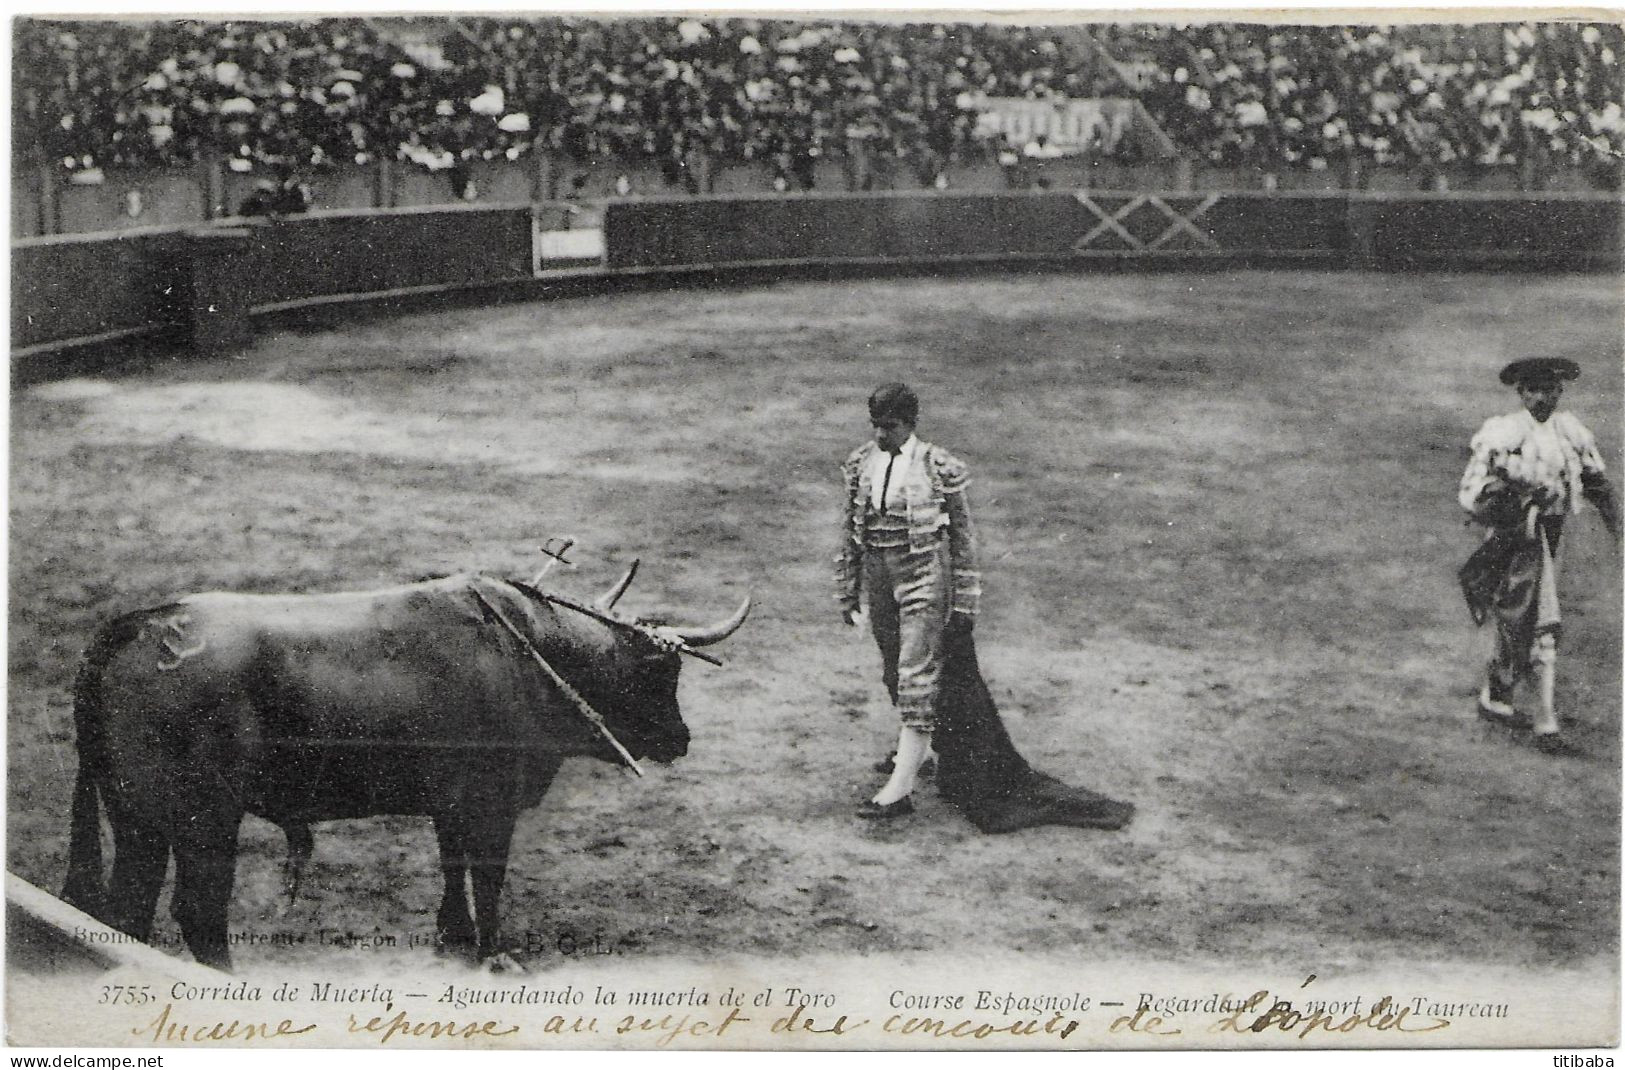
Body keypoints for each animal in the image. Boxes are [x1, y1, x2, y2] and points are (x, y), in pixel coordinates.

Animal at [60, 565, 747, 969]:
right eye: (662, 671)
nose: (681, 739)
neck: (533, 655)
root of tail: (133, 627)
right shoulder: (491, 805)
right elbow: (487, 877)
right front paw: (495, 956)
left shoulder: (454, 804)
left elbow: (452, 867)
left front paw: (453, 939)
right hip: (205, 820)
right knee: (198, 910)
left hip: (137, 819)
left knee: (127, 910)